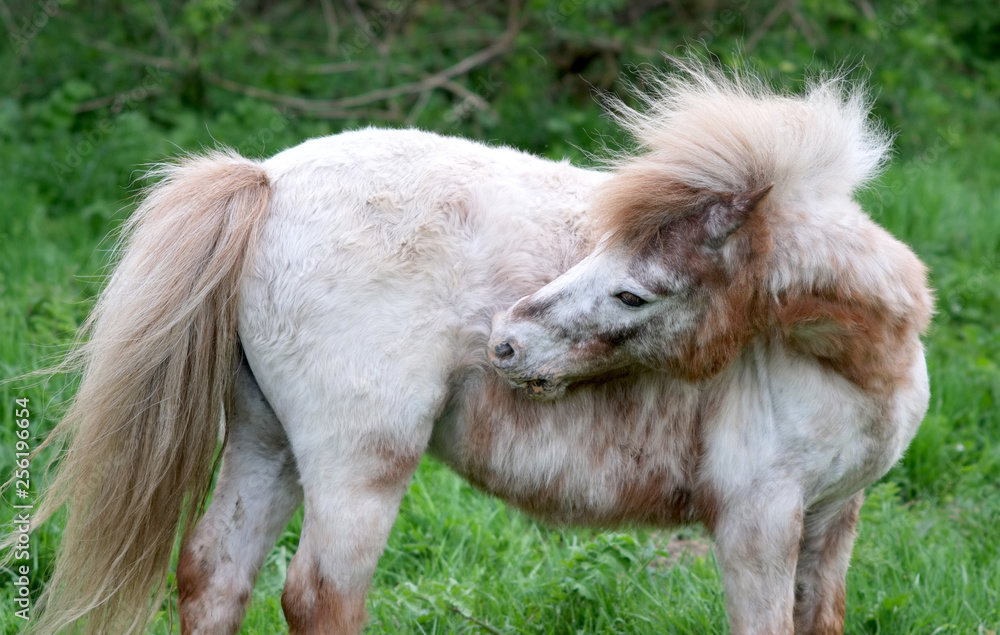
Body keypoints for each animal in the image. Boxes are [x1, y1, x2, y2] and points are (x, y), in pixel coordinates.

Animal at [17, 62, 931, 635]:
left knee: (214, 573)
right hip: (361, 461)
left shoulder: (832, 515)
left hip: (265, 441)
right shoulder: (756, 519)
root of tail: (267, 180)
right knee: (317, 596)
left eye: (634, 289)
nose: (508, 341)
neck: (863, 362)